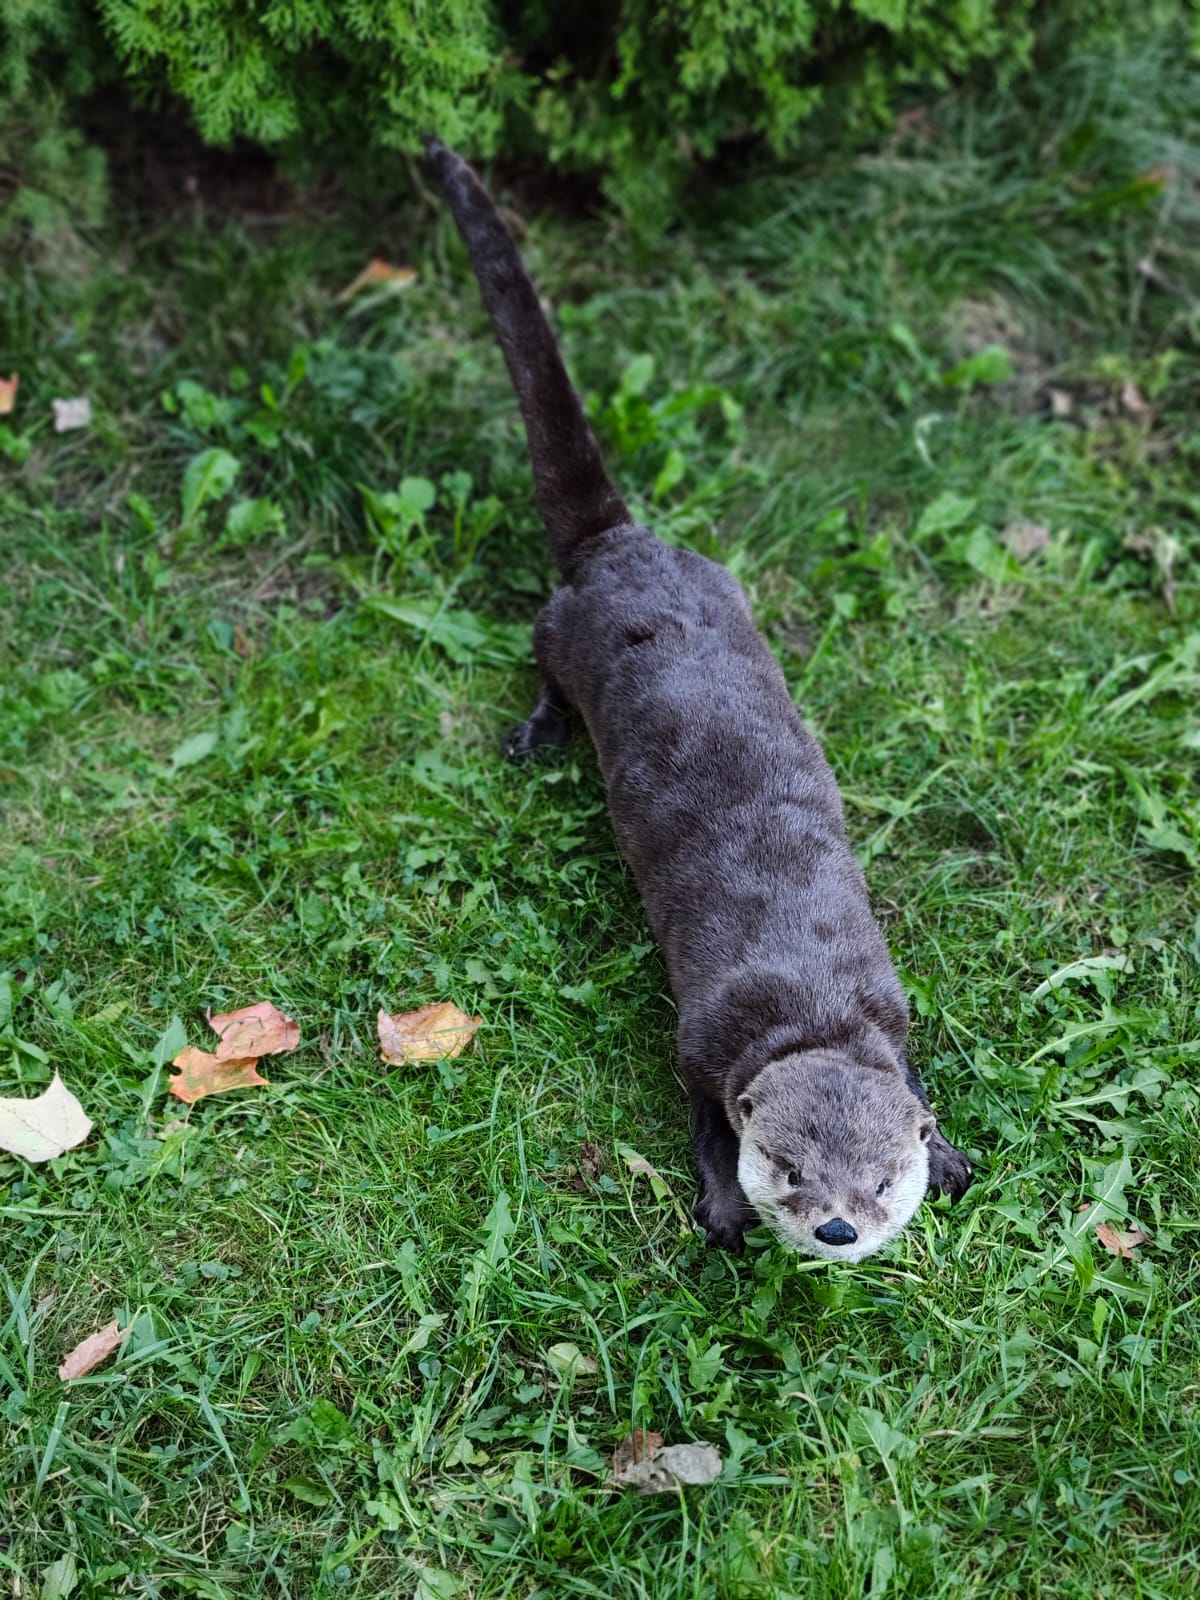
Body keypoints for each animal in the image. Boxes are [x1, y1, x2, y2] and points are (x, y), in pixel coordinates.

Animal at [424, 140, 973, 1258]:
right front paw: (721, 1203)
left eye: (880, 1180)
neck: (811, 1008)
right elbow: (706, 1119)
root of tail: (625, 548)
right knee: (540, 654)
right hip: (562, 628)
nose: (836, 1229)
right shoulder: (701, 1042)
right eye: (792, 1170)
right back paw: (536, 733)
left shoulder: (888, 1018)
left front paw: (949, 1152)